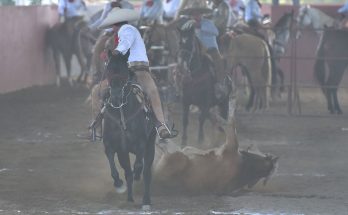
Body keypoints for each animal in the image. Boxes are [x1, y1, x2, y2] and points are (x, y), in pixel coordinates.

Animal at [102, 51, 156, 209]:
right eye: (109, 70)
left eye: (124, 71)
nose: (115, 97)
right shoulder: (112, 145)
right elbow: (114, 168)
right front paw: (119, 185)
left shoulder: (141, 143)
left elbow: (138, 166)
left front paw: (137, 175)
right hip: (123, 153)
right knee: (127, 172)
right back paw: (130, 198)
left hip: (150, 144)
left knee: (146, 172)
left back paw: (146, 201)